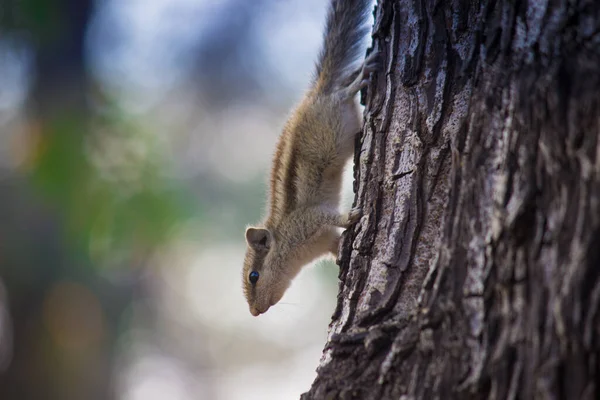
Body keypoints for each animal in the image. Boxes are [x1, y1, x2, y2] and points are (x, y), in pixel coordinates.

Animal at [241, 0, 378, 318]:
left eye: (254, 276)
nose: (254, 312)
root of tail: (316, 90)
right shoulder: (324, 239)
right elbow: (336, 243)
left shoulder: (308, 219)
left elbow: (331, 215)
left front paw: (352, 215)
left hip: (331, 119)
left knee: (342, 93)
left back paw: (357, 79)